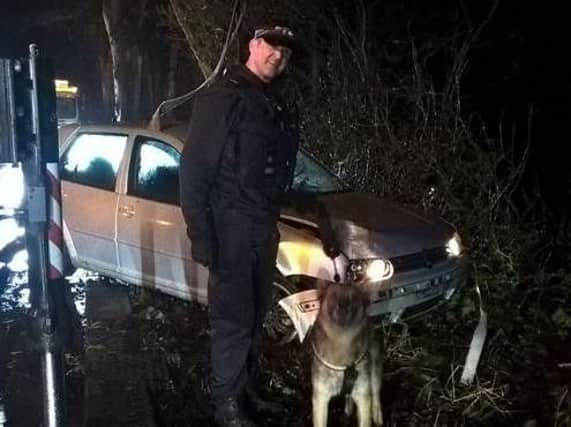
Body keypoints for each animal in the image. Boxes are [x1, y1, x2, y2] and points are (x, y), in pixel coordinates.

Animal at [310, 280, 382, 427]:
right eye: (333, 295)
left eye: (353, 298)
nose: (343, 308)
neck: (341, 340)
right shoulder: (320, 398)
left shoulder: (363, 396)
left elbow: (366, 415)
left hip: (374, 371)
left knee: (376, 393)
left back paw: (377, 415)